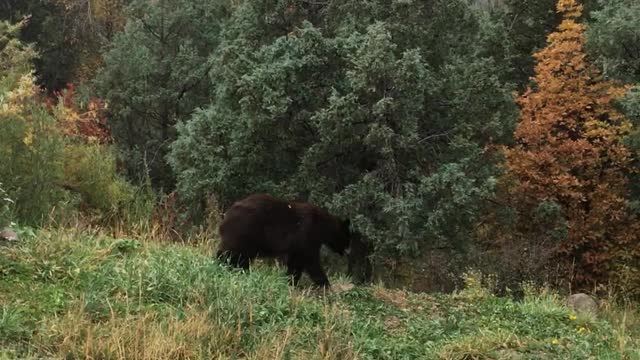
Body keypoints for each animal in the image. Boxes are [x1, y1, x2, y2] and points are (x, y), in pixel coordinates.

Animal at [218, 193, 352, 288]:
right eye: (348, 237)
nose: (348, 251)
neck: (322, 226)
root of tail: (227, 214)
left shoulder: (298, 245)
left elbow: (296, 263)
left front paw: (290, 281)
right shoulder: (307, 235)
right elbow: (311, 261)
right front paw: (325, 284)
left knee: (241, 257)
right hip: (245, 232)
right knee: (232, 253)